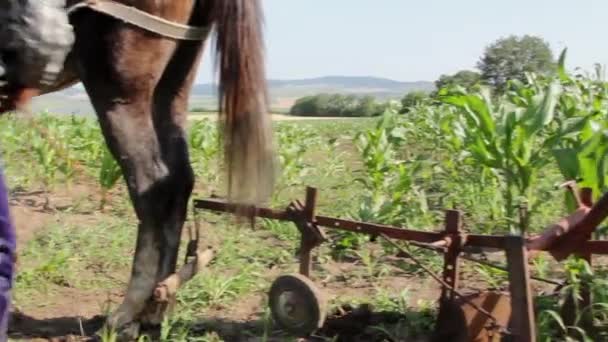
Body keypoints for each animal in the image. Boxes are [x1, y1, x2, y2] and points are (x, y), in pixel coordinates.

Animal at [30, 0, 276, 336]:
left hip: (120, 89)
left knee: (153, 185)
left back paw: (128, 313)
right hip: (172, 87)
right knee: (179, 182)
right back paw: (158, 304)